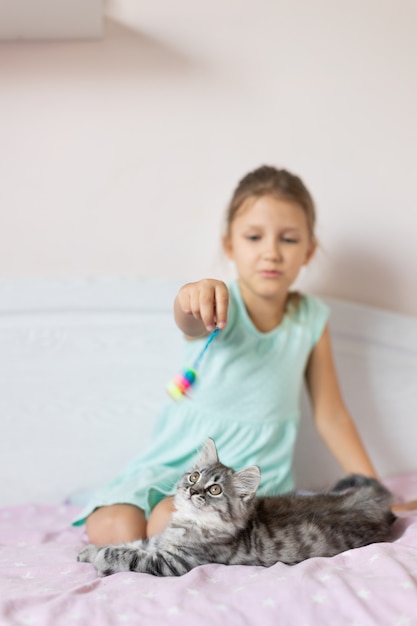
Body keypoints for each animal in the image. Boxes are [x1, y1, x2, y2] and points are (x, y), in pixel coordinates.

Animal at [77, 434, 394, 576]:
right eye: (194, 476)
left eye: (215, 489)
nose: (193, 490)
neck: (188, 524)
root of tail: (369, 500)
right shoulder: (158, 542)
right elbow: (132, 543)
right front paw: (87, 551)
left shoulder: (171, 562)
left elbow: (125, 554)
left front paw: (100, 557)